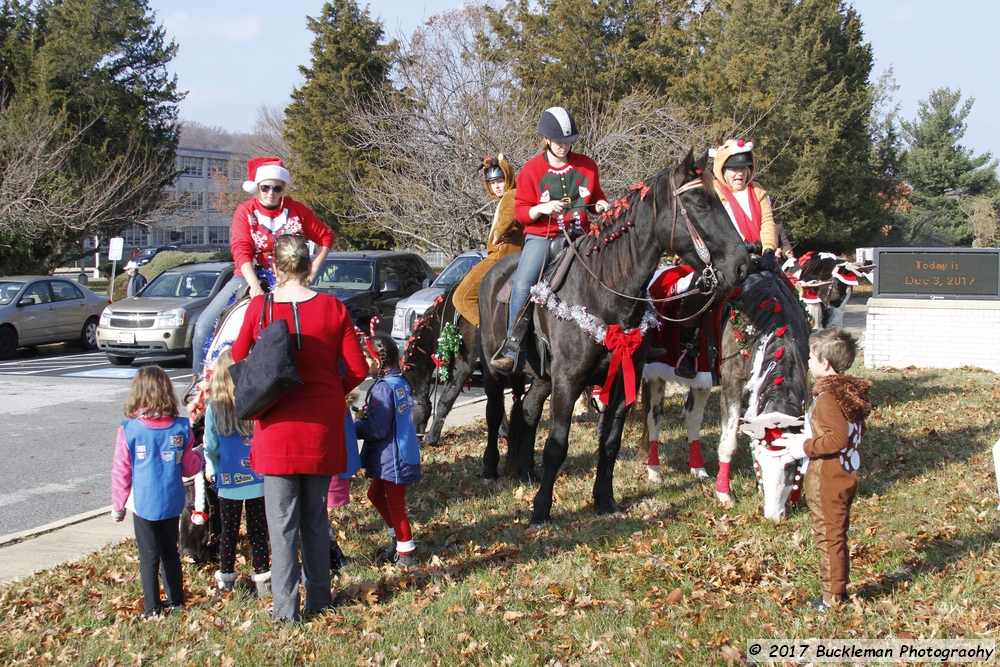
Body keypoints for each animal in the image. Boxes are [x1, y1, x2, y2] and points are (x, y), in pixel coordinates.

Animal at [480, 151, 748, 528]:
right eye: (699, 202)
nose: (743, 264)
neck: (603, 291)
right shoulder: (568, 380)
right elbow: (557, 446)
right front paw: (541, 510)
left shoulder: (621, 379)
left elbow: (610, 443)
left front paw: (605, 500)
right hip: (495, 370)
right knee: (494, 413)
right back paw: (491, 469)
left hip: (542, 377)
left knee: (529, 411)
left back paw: (526, 471)